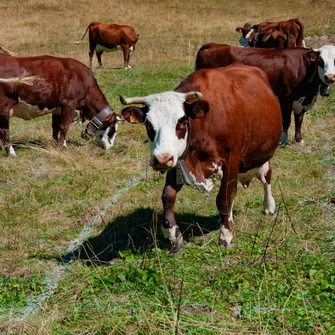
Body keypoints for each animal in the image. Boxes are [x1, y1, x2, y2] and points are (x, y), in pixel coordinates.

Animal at [120, 63, 284, 252]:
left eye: (182, 121)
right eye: (148, 123)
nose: (161, 159)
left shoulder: (231, 159)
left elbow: (223, 198)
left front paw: (226, 236)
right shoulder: (178, 161)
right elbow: (168, 195)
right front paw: (173, 234)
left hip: (262, 156)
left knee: (266, 177)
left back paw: (268, 206)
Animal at [194, 43, 335, 144]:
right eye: (320, 61)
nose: (330, 76)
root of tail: (213, 45)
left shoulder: (302, 101)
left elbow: (299, 120)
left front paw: (299, 140)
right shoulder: (285, 99)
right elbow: (287, 121)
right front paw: (284, 141)